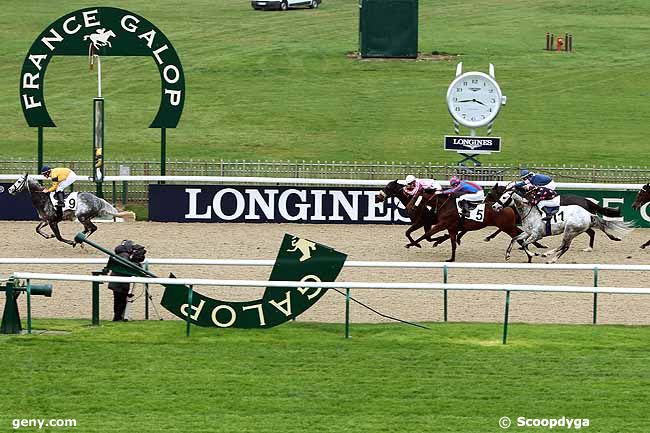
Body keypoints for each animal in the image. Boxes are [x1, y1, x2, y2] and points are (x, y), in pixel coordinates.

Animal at [7, 173, 135, 246]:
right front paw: (49, 236)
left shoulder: (53, 221)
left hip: (82, 216)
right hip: (85, 217)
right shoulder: (46, 220)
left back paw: (80, 242)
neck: (43, 198)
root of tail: (98, 200)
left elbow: (59, 237)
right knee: (88, 229)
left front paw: (69, 242)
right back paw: (79, 238)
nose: (9, 189)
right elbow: (37, 229)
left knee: (93, 228)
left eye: (19, 181)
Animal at [494, 187, 632, 262]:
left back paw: (550, 256)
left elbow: (524, 244)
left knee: (565, 245)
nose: (495, 206)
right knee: (568, 244)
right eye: (500, 195)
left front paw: (533, 254)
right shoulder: (528, 232)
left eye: (504, 197)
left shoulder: (537, 235)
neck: (530, 211)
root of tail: (588, 214)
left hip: (570, 230)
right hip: (574, 230)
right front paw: (507, 255)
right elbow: (515, 239)